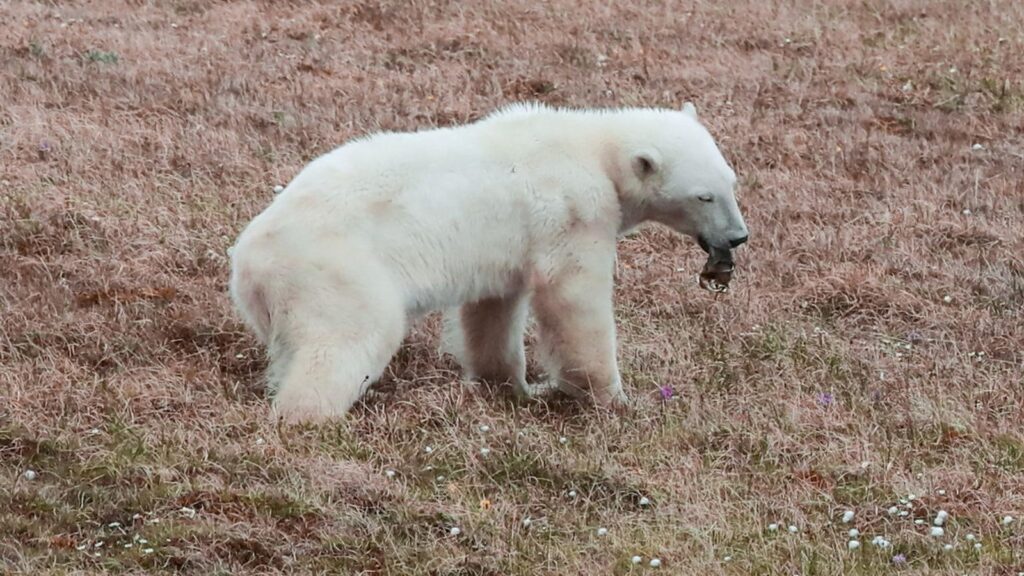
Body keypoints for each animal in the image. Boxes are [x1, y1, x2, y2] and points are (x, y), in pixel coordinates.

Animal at [228, 102, 749, 423]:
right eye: (703, 196)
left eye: (731, 181)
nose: (738, 237)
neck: (593, 146)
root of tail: (248, 264)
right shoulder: (572, 212)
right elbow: (575, 301)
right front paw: (613, 399)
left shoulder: (509, 245)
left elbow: (492, 309)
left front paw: (509, 386)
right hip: (336, 270)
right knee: (348, 339)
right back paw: (309, 416)